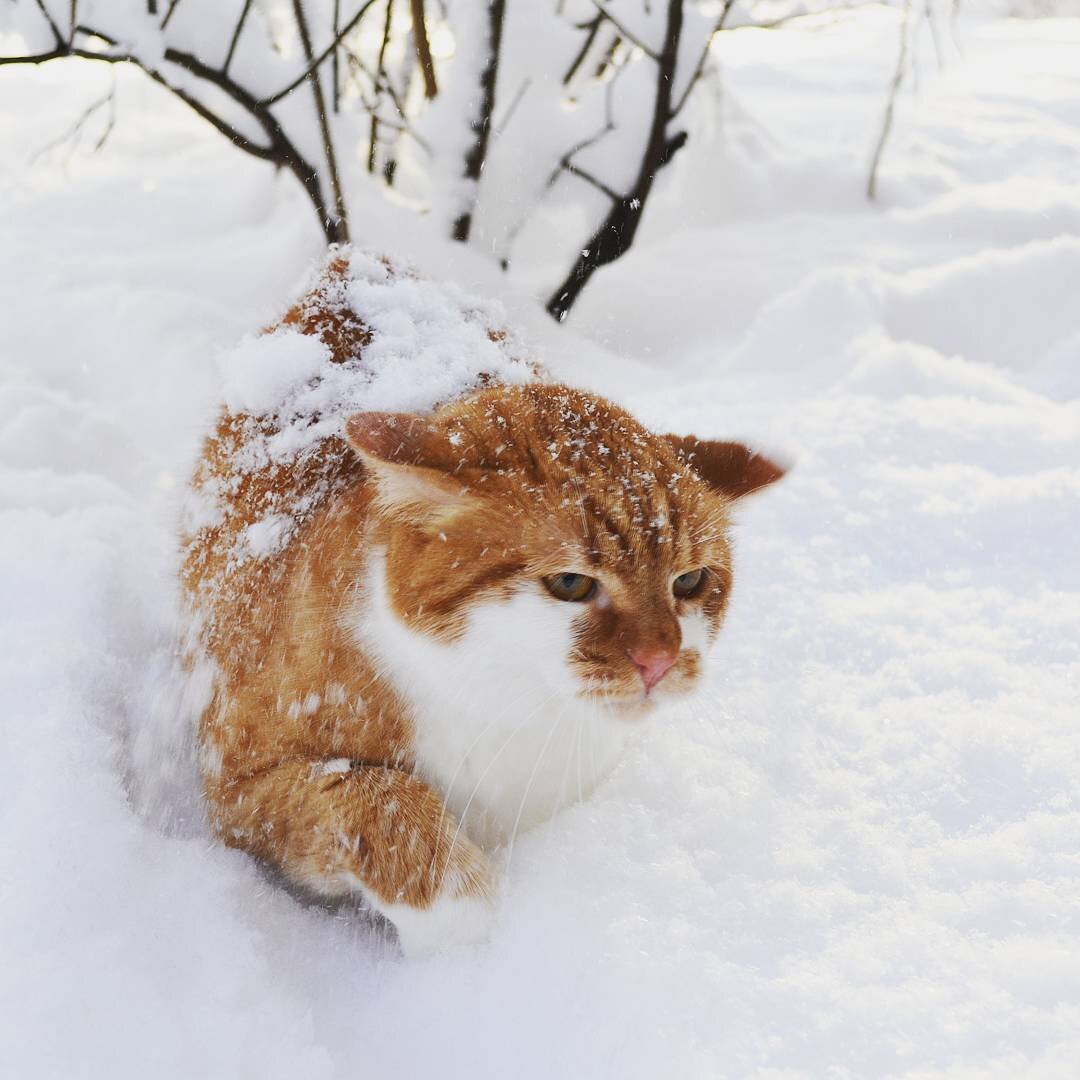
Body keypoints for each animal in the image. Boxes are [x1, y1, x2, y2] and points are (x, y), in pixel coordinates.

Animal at [181, 250, 781, 954]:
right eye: (571, 584)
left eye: (688, 583)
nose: (660, 659)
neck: (502, 705)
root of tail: (358, 263)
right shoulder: (237, 785)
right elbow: (374, 795)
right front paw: (466, 928)